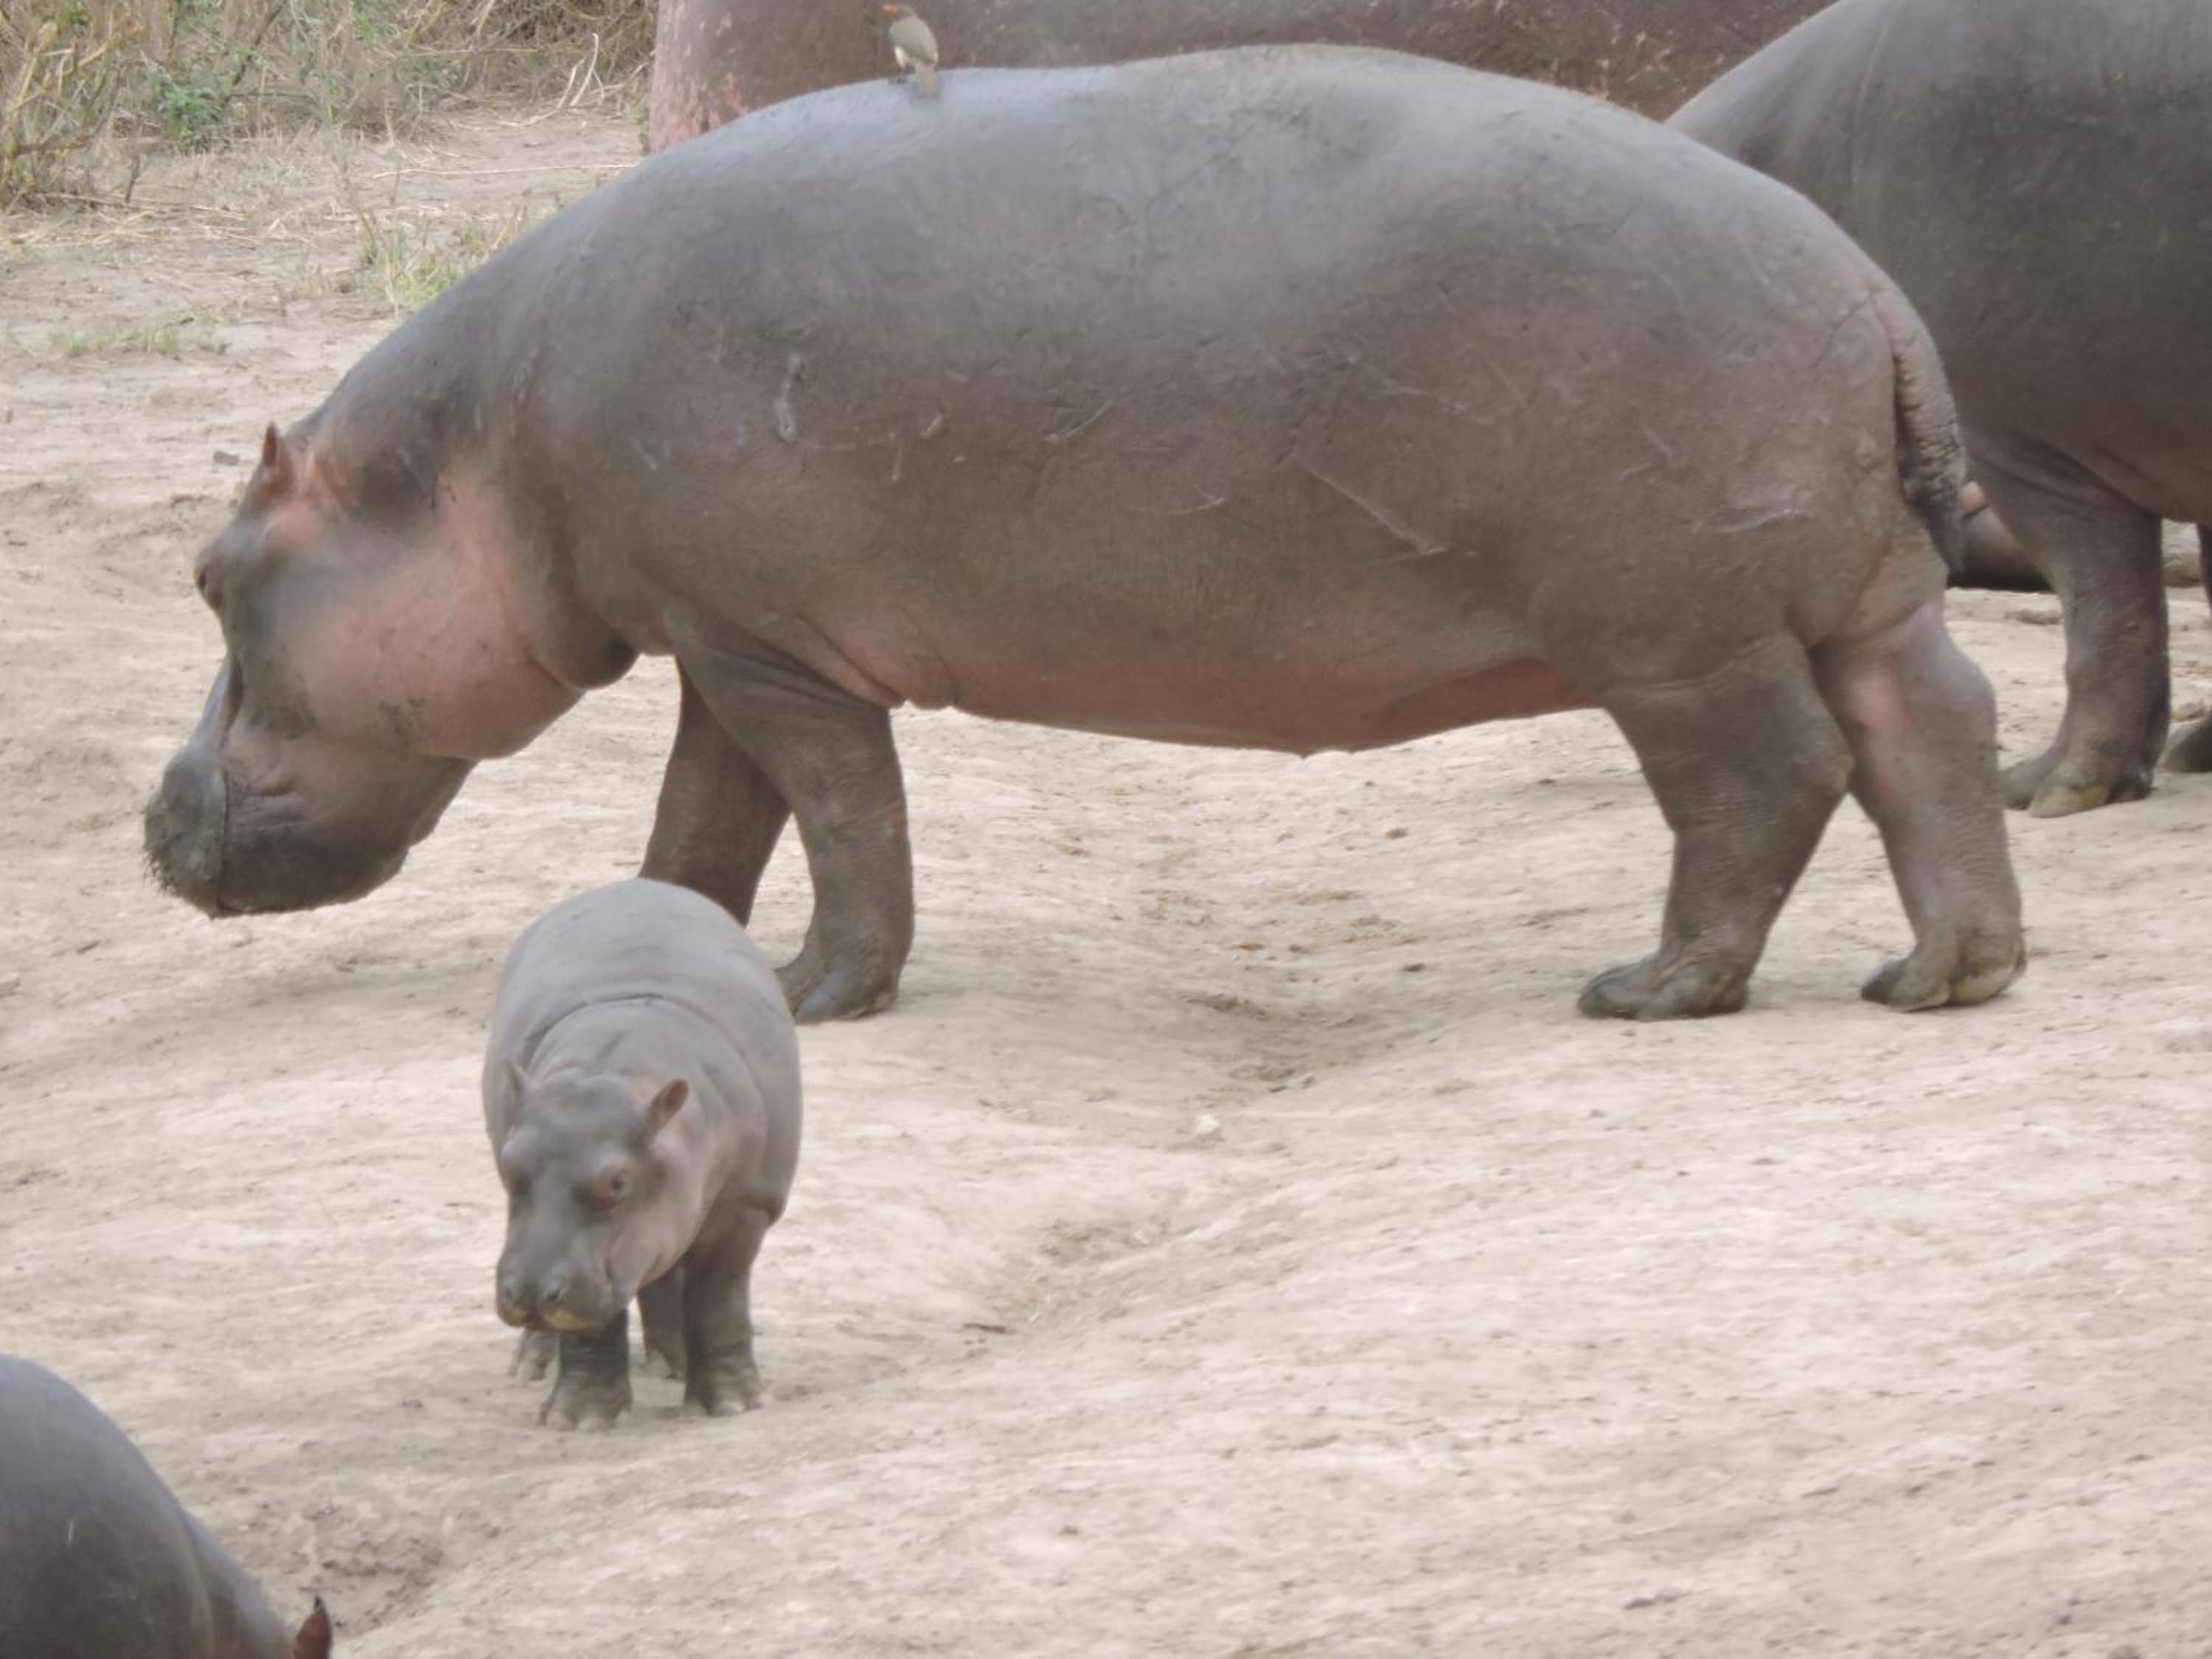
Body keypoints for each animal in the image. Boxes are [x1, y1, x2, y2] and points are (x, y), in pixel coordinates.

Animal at [144, 48, 2026, 1023]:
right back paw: (1939, 974)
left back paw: (1646, 987)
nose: (152, 818)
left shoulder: (774, 654)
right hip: (1857, 597)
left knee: (1767, 777)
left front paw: (822, 996)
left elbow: (843, 818)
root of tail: (1869, 290)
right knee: (1930, 733)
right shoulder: (723, 638)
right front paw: (662, 936)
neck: (468, 460)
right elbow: (704, 824)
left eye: (216, 580)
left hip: (1677, 632)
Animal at [486, 879, 801, 1428]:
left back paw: (672, 1362)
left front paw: (737, 1404)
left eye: (617, 1182)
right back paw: (531, 1366)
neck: (616, 1070)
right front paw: (580, 1419)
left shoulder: (748, 1205)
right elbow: (594, 1321)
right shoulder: (599, 1263)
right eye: (508, 1165)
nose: (529, 1293)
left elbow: (719, 1301)